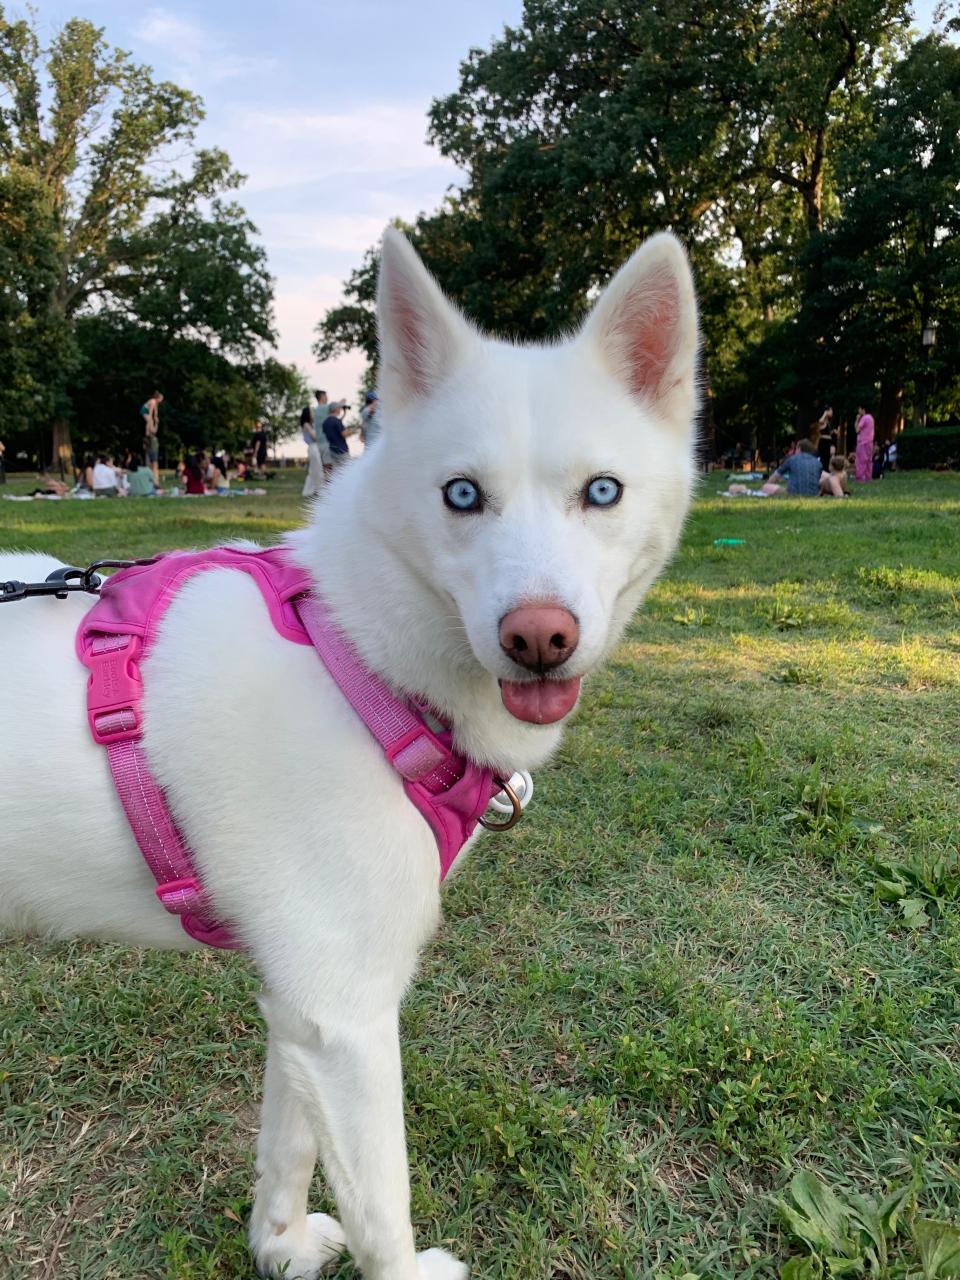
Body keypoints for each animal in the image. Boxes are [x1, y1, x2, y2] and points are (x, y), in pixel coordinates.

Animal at [0, 232, 701, 1280]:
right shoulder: (348, 1014)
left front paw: (281, 1245)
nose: (540, 638)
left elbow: (288, 1146)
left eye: (602, 492)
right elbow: (384, 1208)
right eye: (462, 495)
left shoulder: (306, 1004)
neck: (356, 653)